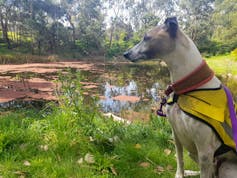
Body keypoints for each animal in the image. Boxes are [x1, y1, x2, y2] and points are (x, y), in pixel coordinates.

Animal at [123, 16, 237, 177]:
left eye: (146, 37)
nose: (125, 53)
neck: (187, 87)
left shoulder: (205, 151)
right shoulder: (176, 135)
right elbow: (179, 159)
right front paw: (181, 173)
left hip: (226, 167)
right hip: (194, 154)